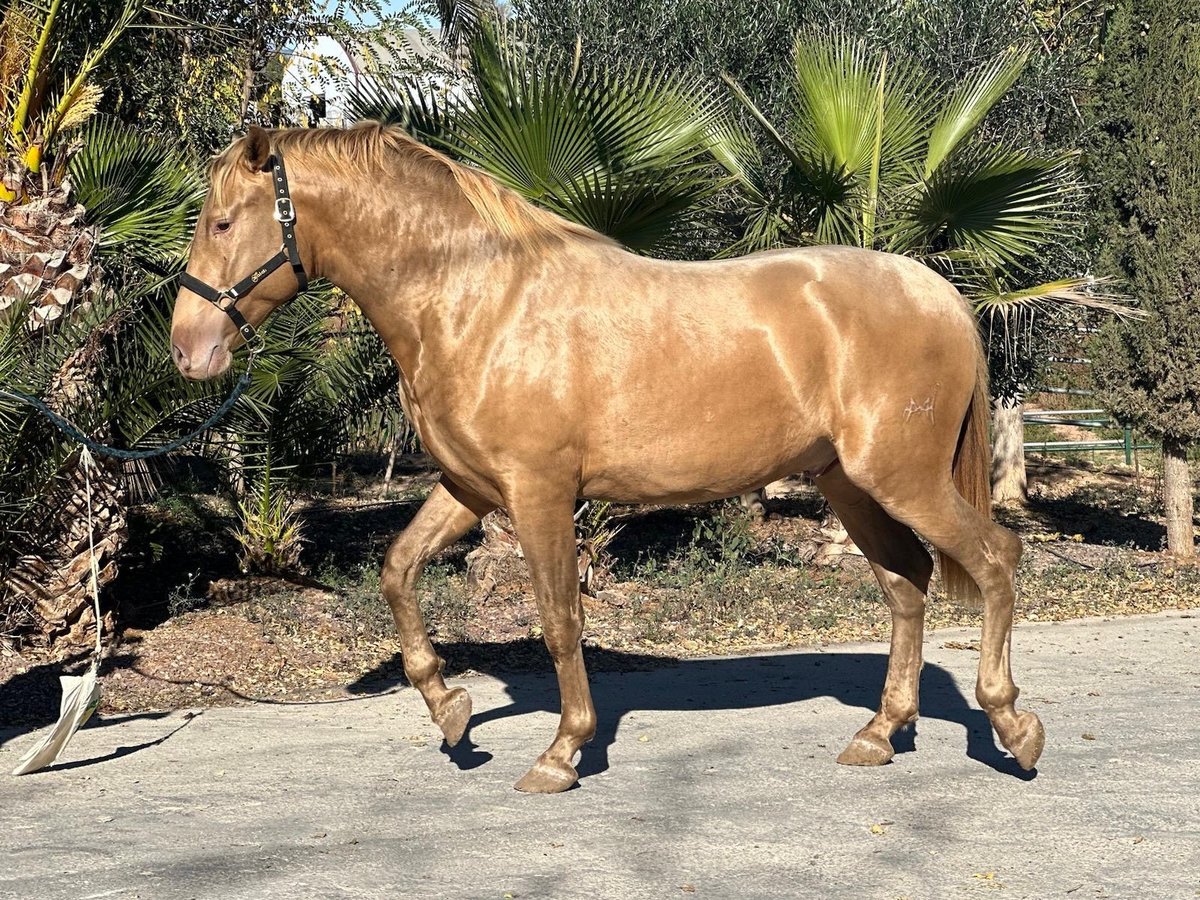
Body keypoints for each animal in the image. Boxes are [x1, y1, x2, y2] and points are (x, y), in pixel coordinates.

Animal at [169, 123, 1041, 792]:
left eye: (222, 223)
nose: (187, 349)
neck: (480, 303)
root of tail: (939, 294)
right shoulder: (469, 488)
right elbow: (397, 570)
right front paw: (450, 711)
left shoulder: (538, 494)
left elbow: (560, 621)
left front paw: (560, 753)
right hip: (853, 486)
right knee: (907, 584)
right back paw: (880, 734)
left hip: (901, 478)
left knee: (995, 560)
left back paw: (1012, 725)